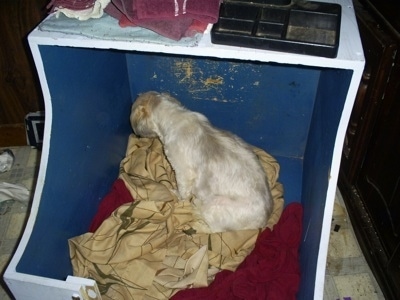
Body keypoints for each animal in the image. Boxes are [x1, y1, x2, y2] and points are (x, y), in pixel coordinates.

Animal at [130, 91, 274, 232]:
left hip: (215, 204)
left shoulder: (182, 171)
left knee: (214, 229)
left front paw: (177, 195)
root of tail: (263, 221)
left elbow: (183, 191)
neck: (174, 116)